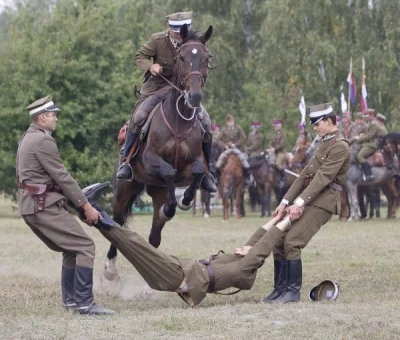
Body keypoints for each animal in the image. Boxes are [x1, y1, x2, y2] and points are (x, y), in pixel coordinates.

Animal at [104, 25, 214, 280]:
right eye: (182, 57)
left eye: (206, 58)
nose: (194, 97)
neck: (179, 120)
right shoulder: (151, 160)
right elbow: (167, 170)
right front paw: (177, 204)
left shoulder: (195, 163)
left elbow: (196, 171)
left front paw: (185, 200)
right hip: (123, 190)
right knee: (117, 221)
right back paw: (110, 268)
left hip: (158, 192)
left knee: (154, 234)